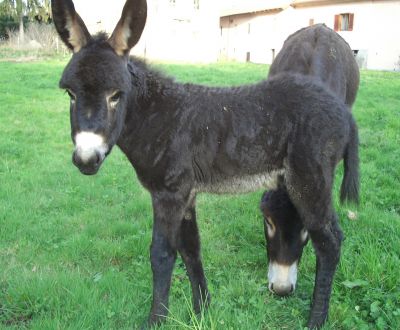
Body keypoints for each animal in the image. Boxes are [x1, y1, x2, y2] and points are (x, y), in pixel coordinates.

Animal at [50, 1, 360, 328]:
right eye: (70, 94)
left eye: (116, 96)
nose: (86, 159)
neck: (156, 119)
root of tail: (343, 112)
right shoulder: (185, 194)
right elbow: (190, 249)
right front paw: (202, 309)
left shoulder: (168, 194)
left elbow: (161, 254)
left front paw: (156, 320)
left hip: (309, 181)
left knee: (330, 242)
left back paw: (316, 320)